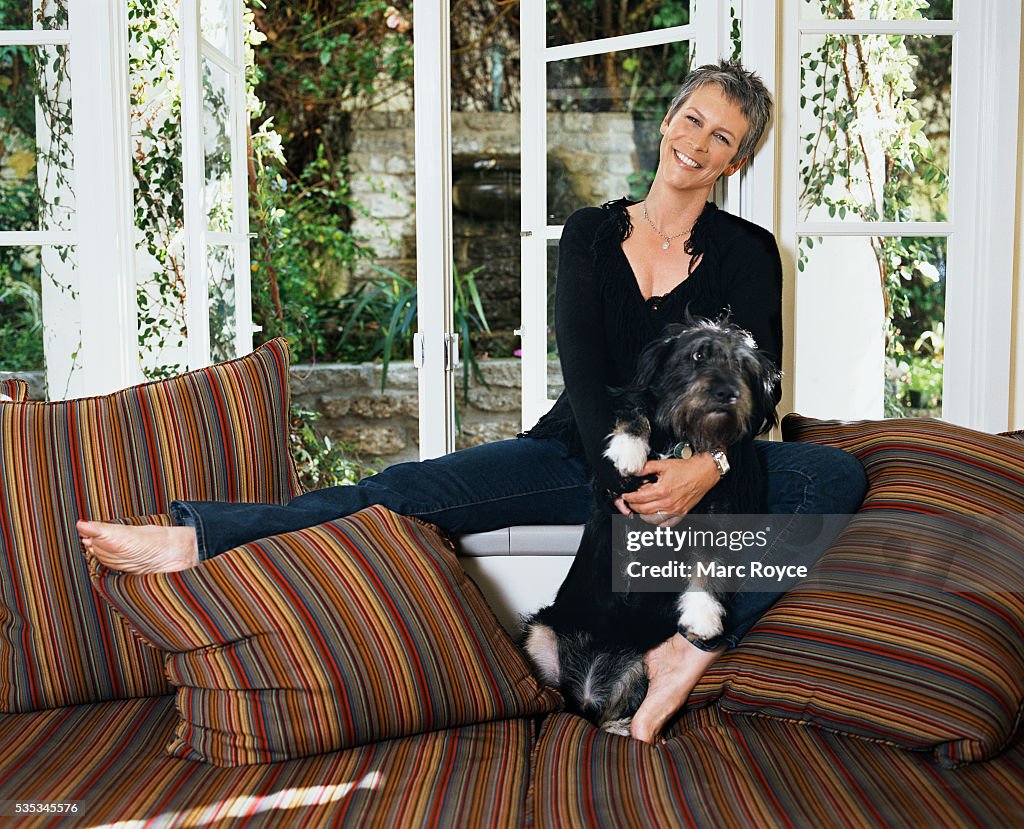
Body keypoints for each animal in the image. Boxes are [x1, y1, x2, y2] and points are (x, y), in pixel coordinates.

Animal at [524, 317, 778, 728]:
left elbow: (710, 562)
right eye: (697, 355)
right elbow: (635, 406)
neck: (683, 440)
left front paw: (704, 615)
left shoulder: (719, 513)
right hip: (540, 635)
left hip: (636, 668)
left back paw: (628, 725)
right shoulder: (611, 492)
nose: (727, 393)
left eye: (743, 365)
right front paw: (628, 449)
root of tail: (587, 692)